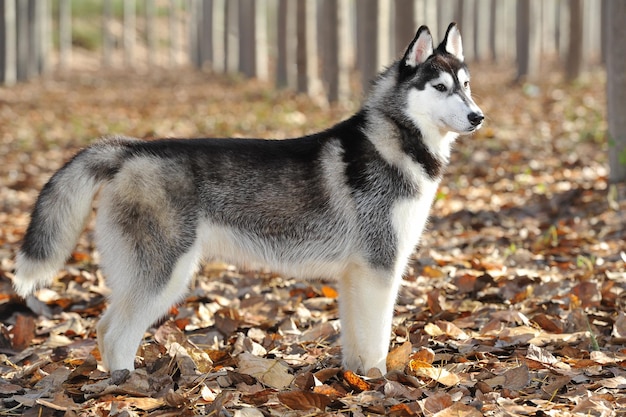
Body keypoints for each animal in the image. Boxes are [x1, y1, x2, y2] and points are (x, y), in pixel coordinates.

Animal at [14, 23, 482, 374]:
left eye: (466, 85)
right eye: (440, 87)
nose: (478, 116)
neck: (398, 141)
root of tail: (131, 150)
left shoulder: (356, 276)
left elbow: (357, 342)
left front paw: (353, 383)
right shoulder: (378, 269)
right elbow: (376, 344)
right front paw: (378, 385)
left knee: (103, 326)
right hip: (166, 275)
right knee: (115, 333)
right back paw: (126, 386)